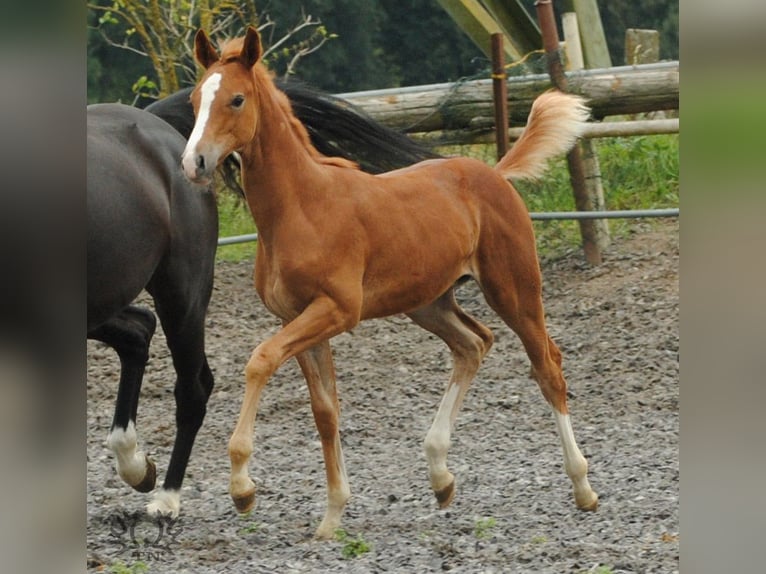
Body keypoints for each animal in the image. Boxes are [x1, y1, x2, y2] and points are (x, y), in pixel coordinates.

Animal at [88, 78, 437, 518]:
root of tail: (156, 125)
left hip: (180, 291)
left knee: (190, 383)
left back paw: (165, 495)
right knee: (138, 331)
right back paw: (139, 468)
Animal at [181, 26, 599, 540]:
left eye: (236, 99)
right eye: (196, 99)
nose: (194, 162)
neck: (301, 207)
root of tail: (495, 173)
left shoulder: (337, 310)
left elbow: (259, 361)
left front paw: (242, 488)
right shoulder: (298, 318)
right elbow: (325, 412)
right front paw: (332, 515)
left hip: (514, 289)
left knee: (547, 367)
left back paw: (583, 488)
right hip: (428, 302)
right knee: (473, 344)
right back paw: (441, 477)